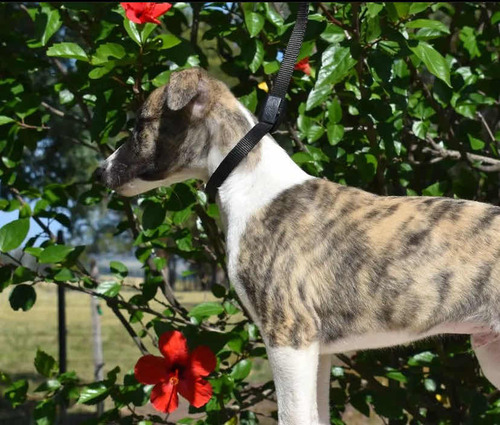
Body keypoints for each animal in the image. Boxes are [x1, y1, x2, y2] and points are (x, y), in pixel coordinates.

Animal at [96, 68, 500, 422]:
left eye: (139, 124)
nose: (99, 172)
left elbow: (292, 416)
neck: (250, 182)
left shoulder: (289, 336)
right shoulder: (316, 352)